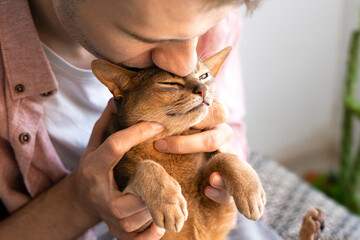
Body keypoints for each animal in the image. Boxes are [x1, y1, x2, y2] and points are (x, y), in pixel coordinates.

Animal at [92, 47, 268, 239]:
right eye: (170, 83)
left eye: (204, 76)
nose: (202, 89)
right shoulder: (136, 224)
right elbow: (146, 165)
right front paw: (168, 203)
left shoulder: (214, 214)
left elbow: (224, 157)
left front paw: (251, 192)